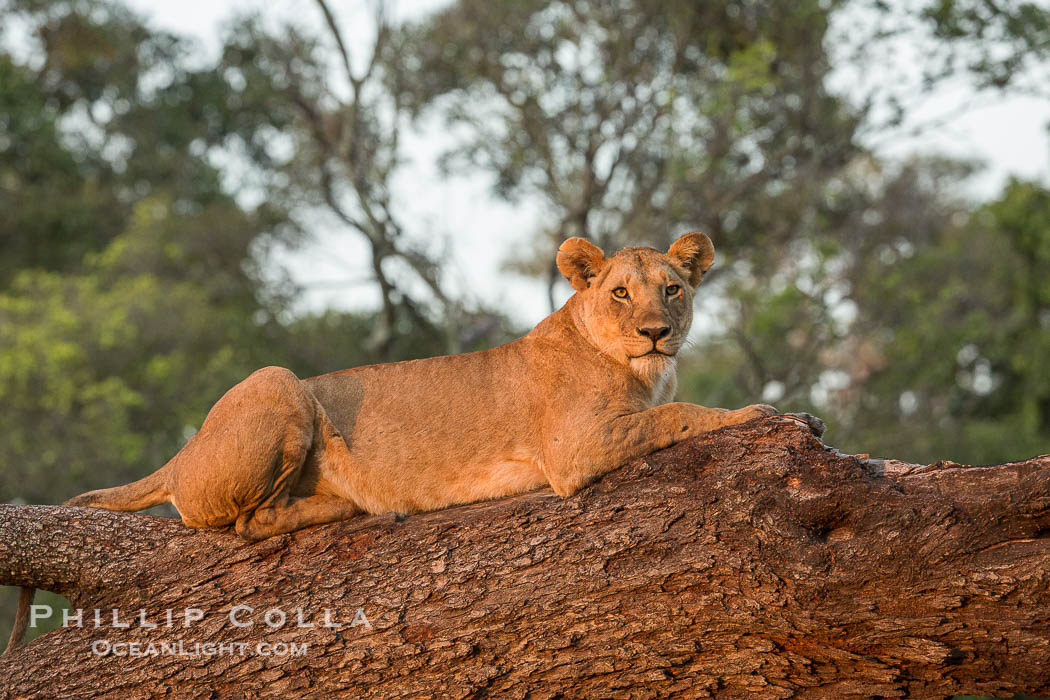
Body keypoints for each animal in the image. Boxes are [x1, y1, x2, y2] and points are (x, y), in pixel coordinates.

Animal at [5, 233, 787, 653]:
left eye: (673, 289)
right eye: (622, 293)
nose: (656, 331)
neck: (639, 369)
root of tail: (181, 453)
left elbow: (672, 409)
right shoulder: (576, 450)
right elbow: (678, 414)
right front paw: (758, 410)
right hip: (279, 382)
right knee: (246, 523)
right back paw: (351, 502)